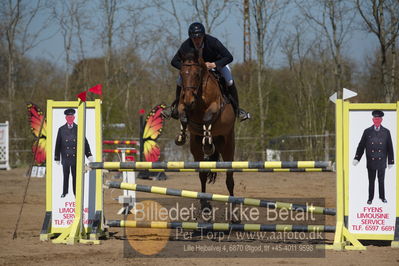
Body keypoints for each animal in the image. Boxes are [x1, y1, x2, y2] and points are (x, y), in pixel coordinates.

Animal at [176, 51, 238, 213]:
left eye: (197, 74)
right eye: (182, 74)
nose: (189, 100)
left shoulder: (215, 105)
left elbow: (208, 117)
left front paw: (208, 143)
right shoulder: (182, 105)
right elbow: (183, 115)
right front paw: (181, 136)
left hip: (228, 145)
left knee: (230, 178)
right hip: (196, 148)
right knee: (202, 175)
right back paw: (204, 203)